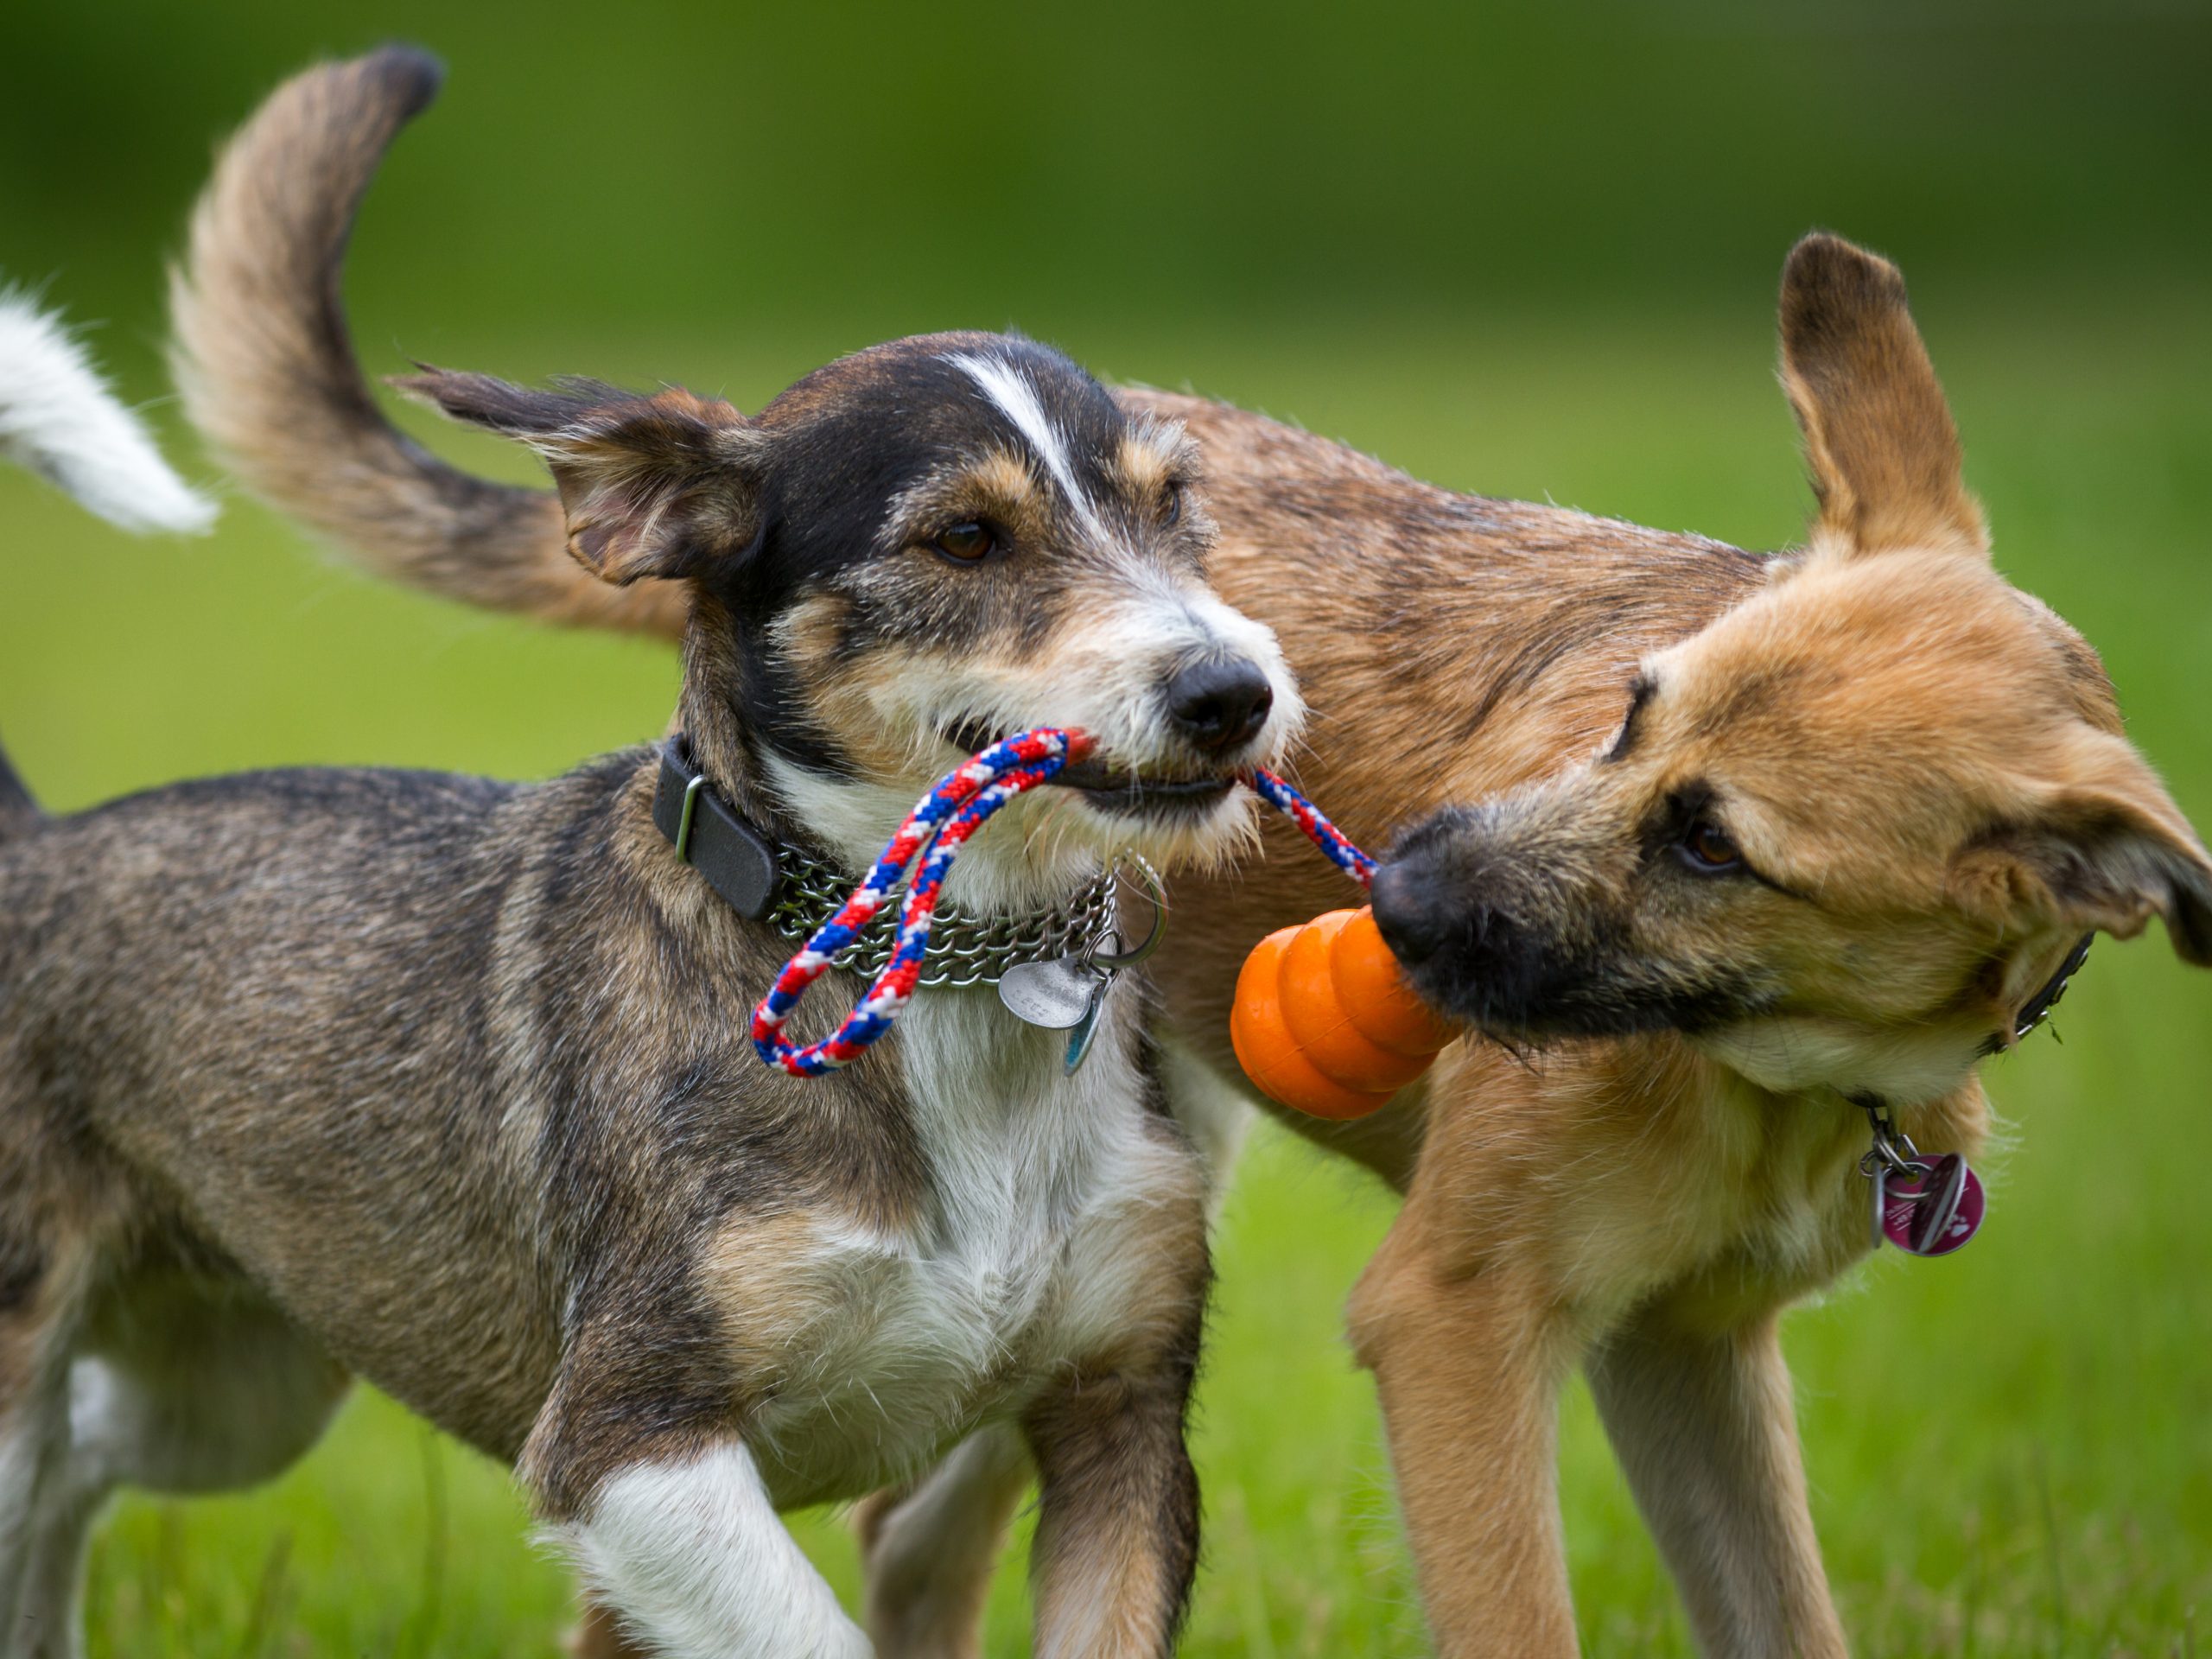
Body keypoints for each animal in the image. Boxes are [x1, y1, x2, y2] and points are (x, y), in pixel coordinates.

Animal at [0, 52, 1309, 1659]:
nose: (1233, 693)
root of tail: (39, 844)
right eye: (960, 539)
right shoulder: (626, 1448)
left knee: (75, 1466)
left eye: (1175, 505)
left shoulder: (1119, 1422)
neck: (935, 974)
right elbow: (810, 1633)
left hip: (240, 1379)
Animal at [163, 45, 2202, 1654]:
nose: (1395, 891)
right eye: (1624, 713)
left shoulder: (1686, 1357)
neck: (1780, 1071)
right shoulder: (1458, 1329)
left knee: (908, 1543)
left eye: (1716, 846)